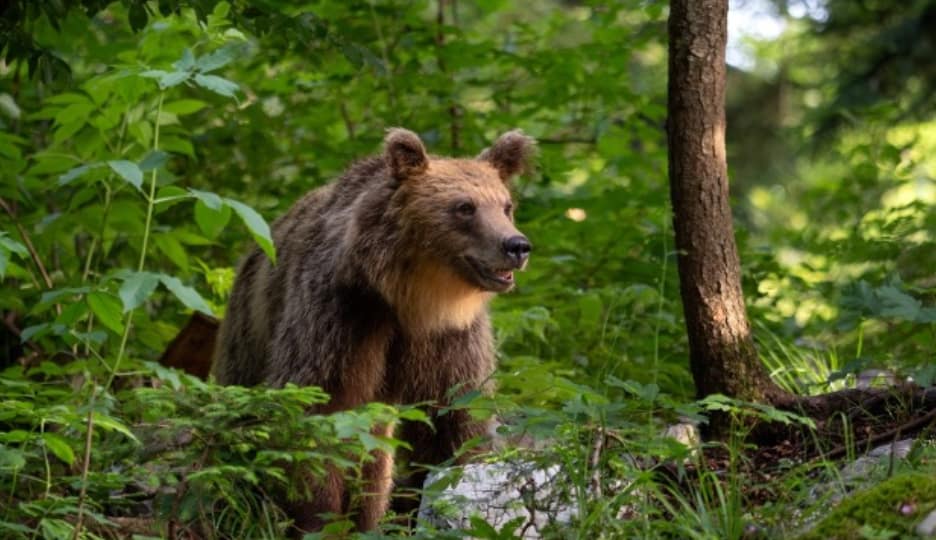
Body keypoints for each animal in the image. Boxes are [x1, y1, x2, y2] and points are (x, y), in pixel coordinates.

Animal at [212, 129, 532, 532]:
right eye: (464, 207)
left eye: (506, 206)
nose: (516, 245)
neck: (411, 300)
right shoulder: (341, 317)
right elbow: (319, 409)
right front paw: (318, 518)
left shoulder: (451, 338)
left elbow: (456, 417)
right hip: (250, 331)